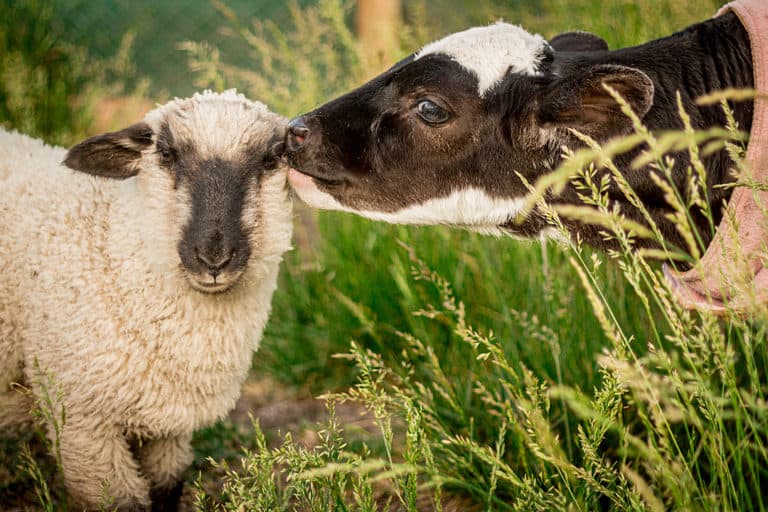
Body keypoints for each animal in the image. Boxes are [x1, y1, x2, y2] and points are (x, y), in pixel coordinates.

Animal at [0, 89, 293, 511]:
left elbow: (167, 489)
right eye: (167, 154)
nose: (214, 258)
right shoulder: (81, 423)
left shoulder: (168, 427)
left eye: (271, 159)